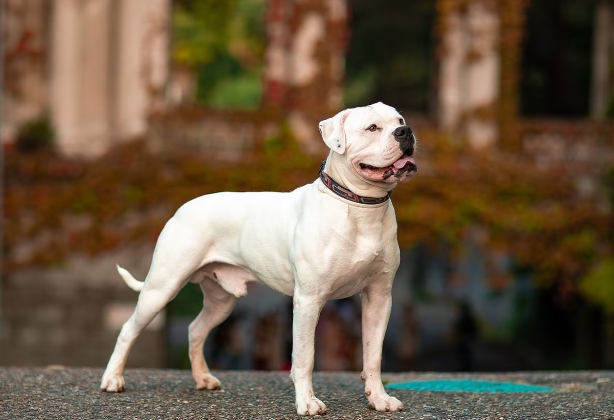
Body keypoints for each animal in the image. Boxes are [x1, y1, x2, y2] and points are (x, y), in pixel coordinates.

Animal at [101, 101, 418, 414]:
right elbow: (305, 356)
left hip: (221, 302)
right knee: (128, 329)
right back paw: (113, 379)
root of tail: (182, 208)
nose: (406, 132)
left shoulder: (379, 297)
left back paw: (203, 378)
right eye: (372, 128)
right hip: (161, 288)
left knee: (195, 330)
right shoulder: (309, 300)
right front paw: (307, 402)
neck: (360, 206)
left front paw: (379, 398)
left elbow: (373, 354)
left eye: (400, 120)